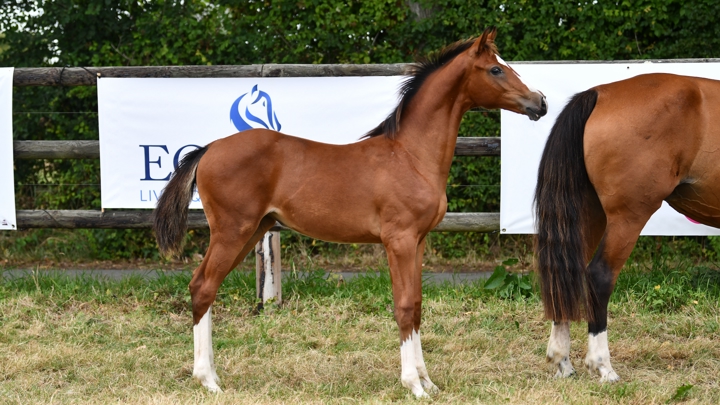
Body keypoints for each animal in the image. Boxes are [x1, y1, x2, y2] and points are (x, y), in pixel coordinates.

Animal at [153, 26, 544, 396]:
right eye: (496, 69)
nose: (540, 102)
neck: (410, 155)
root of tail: (209, 148)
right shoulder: (399, 241)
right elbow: (403, 306)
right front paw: (413, 385)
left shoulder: (418, 241)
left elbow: (417, 305)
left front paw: (428, 381)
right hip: (232, 231)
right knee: (203, 286)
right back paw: (208, 380)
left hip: (253, 231)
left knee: (205, 286)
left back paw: (212, 376)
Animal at [536, 73, 720, 382]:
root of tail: (599, 93)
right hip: (628, 217)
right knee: (599, 276)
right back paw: (603, 366)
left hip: (587, 214)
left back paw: (563, 361)